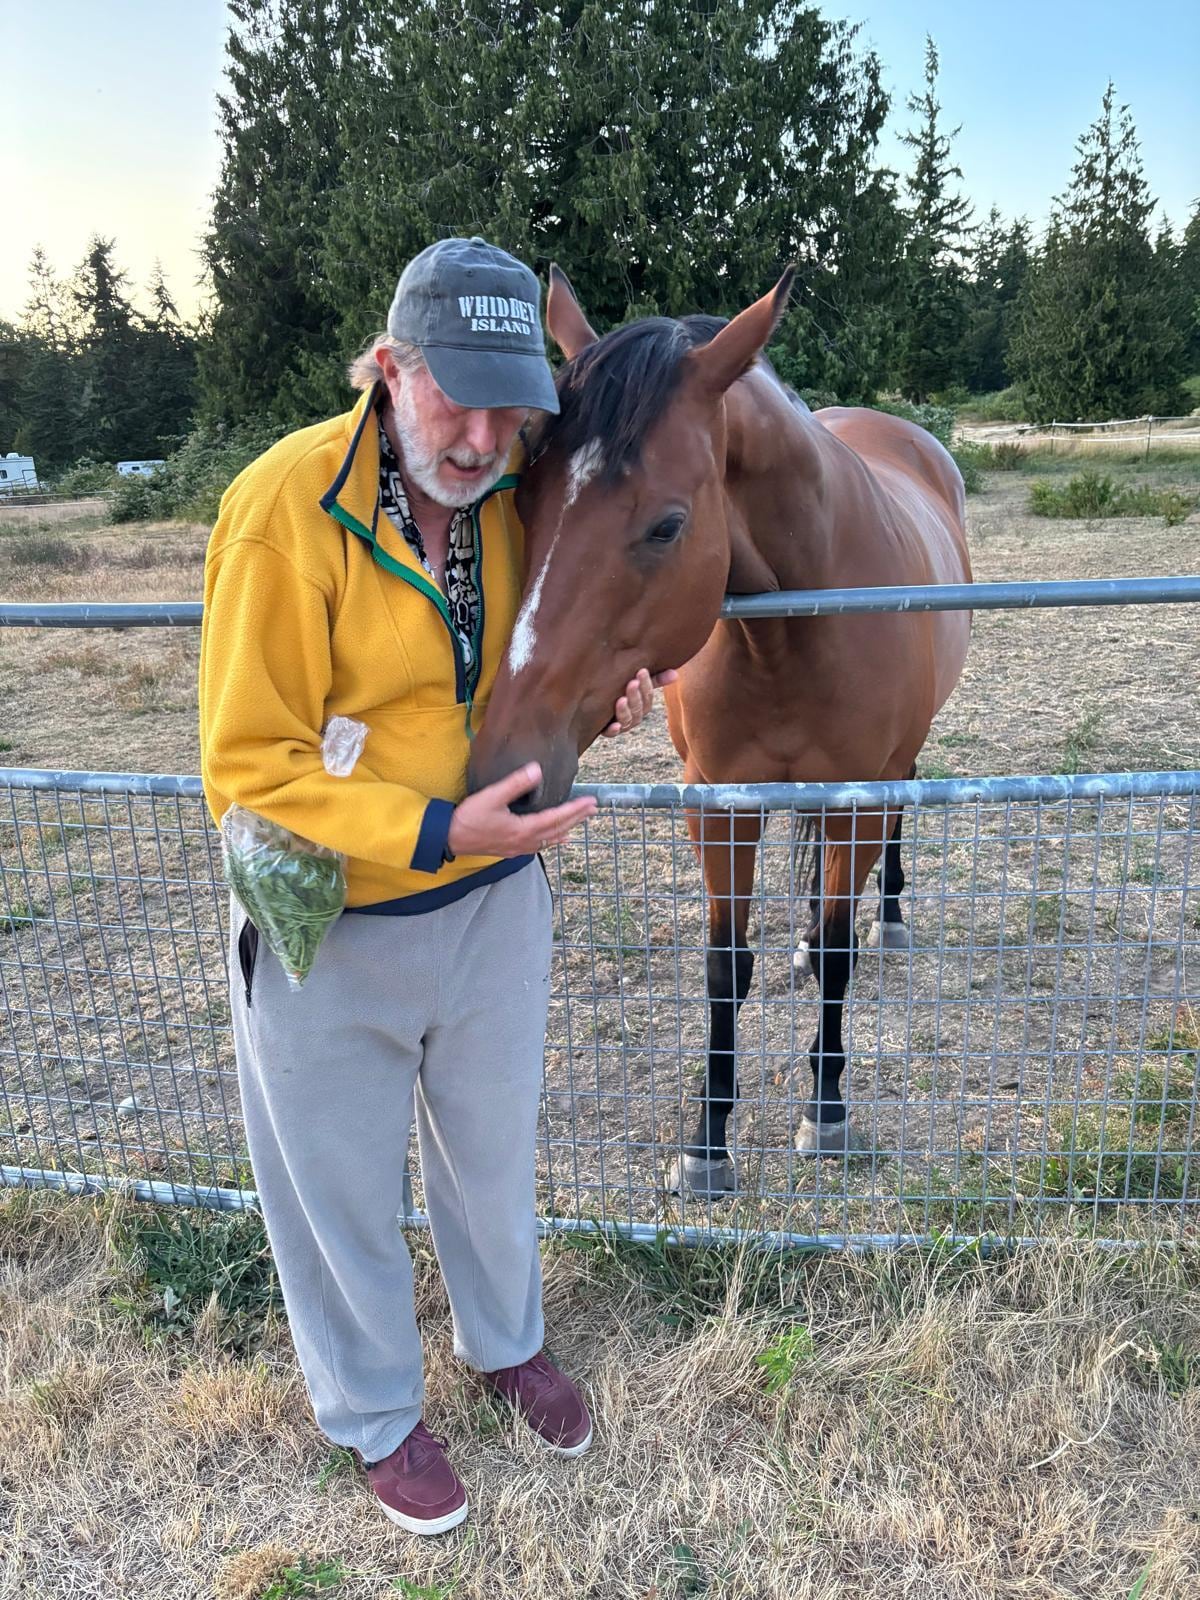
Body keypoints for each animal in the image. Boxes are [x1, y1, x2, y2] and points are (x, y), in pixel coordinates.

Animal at [466, 266, 973, 1197]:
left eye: (666, 525)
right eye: (524, 503)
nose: (505, 772)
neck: (790, 627)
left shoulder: (855, 797)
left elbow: (840, 957)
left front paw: (824, 1110)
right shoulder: (719, 802)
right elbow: (723, 966)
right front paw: (706, 1138)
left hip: (891, 770)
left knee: (893, 828)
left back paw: (886, 917)